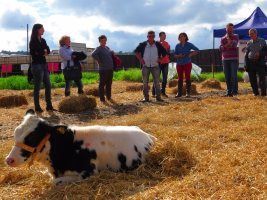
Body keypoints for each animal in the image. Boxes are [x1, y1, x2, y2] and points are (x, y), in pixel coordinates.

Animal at [5, 109, 157, 184]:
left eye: (32, 137)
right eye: (15, 133)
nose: (9, 160)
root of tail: (148, 135)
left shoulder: (89, 172)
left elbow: (55, 182)